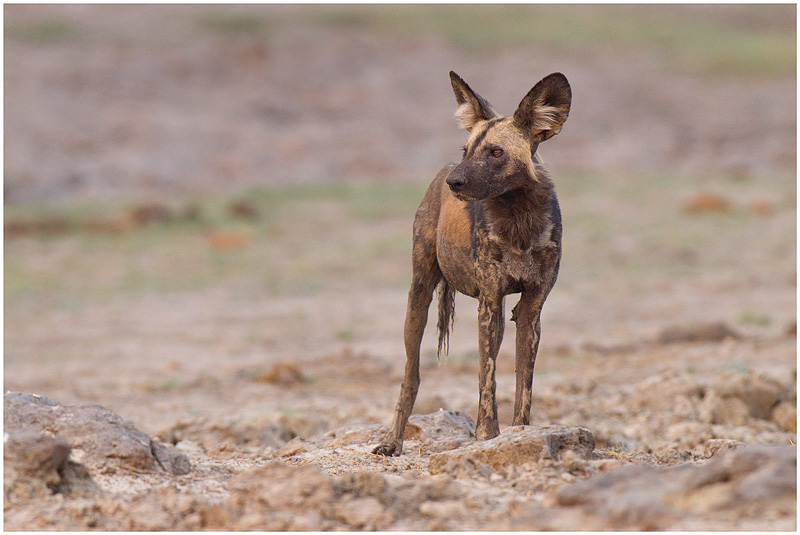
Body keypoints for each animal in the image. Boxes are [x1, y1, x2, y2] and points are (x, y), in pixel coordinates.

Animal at [376, 71, 568, 456]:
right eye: (465, 151)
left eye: (495, 152)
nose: (455, 183)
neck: (519, 221)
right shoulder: (489, 303)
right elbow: (487, 379)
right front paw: (486, 435)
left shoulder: (530, 310)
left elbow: (523, 383)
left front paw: (519, 433)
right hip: (419, 299)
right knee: (410, 375)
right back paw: (392, 440)